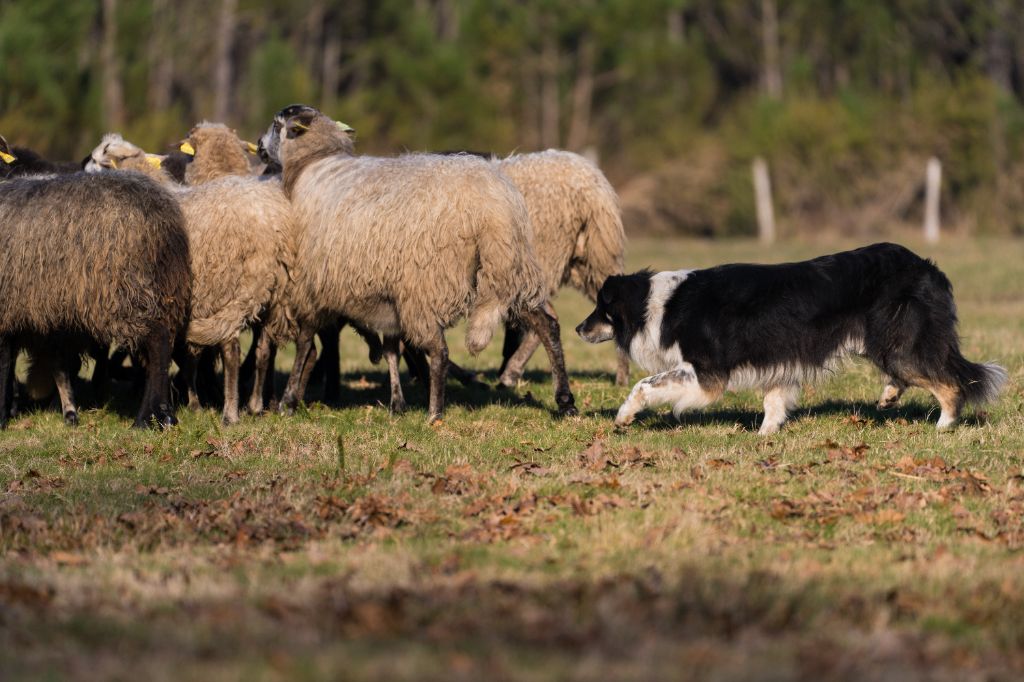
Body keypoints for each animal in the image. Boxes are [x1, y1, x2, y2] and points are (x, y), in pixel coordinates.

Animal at [0, 168, 190, 425]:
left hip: (124, 290)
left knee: (157, 342)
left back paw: (146, 418)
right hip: (162, 289)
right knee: (159, 346)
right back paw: (163, 415)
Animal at [85, 124, 294, 421]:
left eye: (98, 158)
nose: (82, 168)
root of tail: (269, 229)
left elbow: (179, 357)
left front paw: (188, 402)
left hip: (231, 287)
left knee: (231, 348)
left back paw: (230, 413)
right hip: (274, 293)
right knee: (264, 348)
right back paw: (255, 405)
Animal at [256, 102, 577, 419]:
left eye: (276, 124)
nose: (258, 146)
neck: (312, 164)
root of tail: (491, 205)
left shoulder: (312, 285)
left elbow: (305, 343)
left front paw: (288, 401)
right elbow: (390, 348)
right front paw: (396, 403)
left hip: (426, 283)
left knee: (440, 349)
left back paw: (435, 413)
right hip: (509, 268)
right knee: (547, 325)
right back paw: (565, 400)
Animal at [577, 241, 1007, 432]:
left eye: (600, 308)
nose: (579, 328)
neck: (654, 303)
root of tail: (928, 268)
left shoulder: (706, 373)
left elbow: (647, 385)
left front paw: (625, 416)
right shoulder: (777, 358)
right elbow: (774, 401)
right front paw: (766, 434)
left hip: (897, 342)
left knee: (949, 384)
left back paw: (943, 426)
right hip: (883, 343)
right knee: (913, 375)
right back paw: (888, 397)